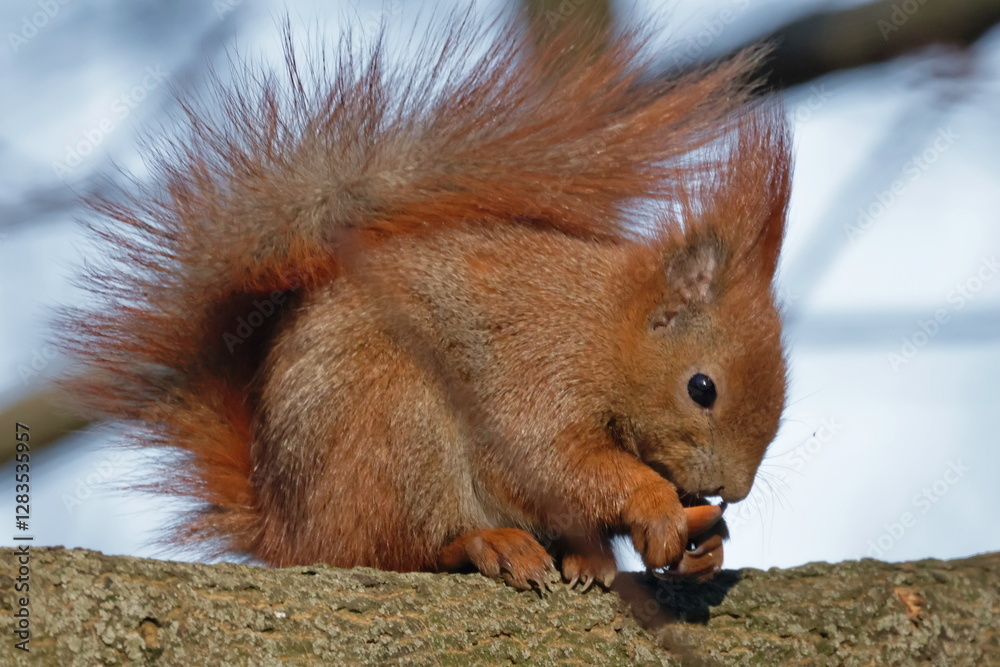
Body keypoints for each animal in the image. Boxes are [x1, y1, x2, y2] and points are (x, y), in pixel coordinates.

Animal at [62, 12, 791, 591]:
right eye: (702, 388)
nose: (731, 491)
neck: (605, 326)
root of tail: (285, 533)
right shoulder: (538, 370)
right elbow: (549, 461)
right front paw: (657, 504)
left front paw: (704, 546)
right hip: (393, 418)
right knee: (396, 549)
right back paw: (483, 544)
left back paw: (588, 560)